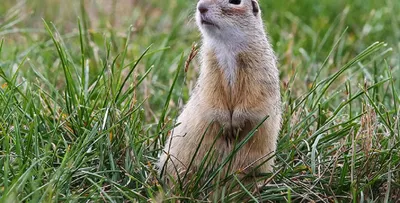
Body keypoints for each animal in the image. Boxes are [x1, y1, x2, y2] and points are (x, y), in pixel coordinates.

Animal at [157, 0, 282, 184]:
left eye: (236, 2)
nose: (201, 7)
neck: (226, 48)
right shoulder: (210, 73)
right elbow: (212, 97)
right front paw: (226, 124)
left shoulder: (258, 73)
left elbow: (252, 99)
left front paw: (236, 123)